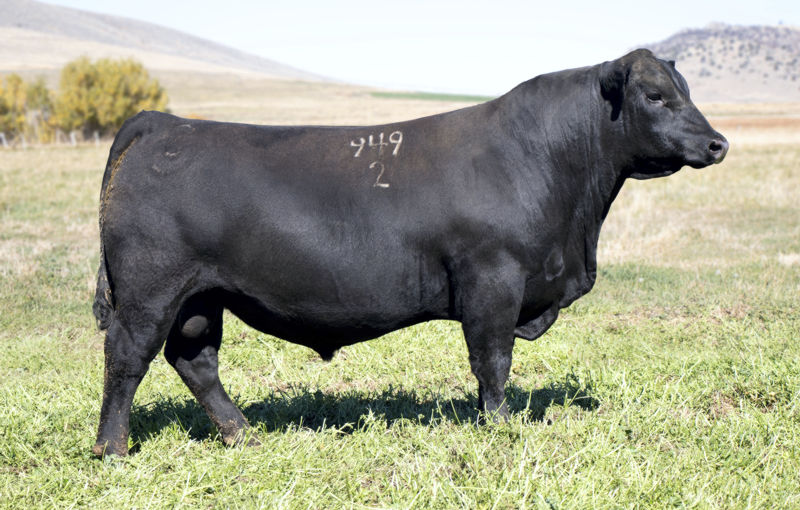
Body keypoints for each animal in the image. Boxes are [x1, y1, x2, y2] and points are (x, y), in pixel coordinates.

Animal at [91, 49, 728, 457]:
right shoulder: (493, 282)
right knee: (127, 357)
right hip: (150, 290)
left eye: (688, 92)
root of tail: (165, 125)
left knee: (195, 359)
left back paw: (240, 433)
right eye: (655, 95)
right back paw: (112, 448)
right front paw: (499, 429)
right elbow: (492, 362)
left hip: (202, 296)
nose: (717, 144)